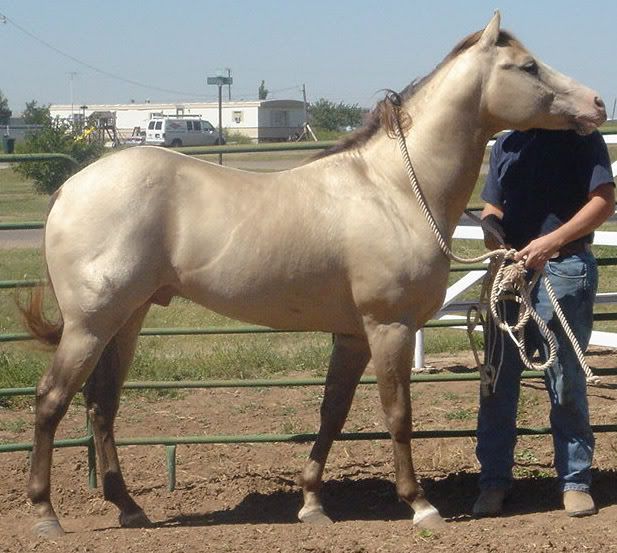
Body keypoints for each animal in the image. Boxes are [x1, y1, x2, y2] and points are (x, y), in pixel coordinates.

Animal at [21, 12, 604, 536]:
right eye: (527, 67)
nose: (597, 104)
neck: (394, 188)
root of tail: (70, 188)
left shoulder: (352, 335)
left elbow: (332, 414)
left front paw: (311, 503)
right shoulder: (388, 327)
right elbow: (398, 415)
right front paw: (420, 505)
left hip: (128, 319)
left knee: (101, 406)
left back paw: (129, 508)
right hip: (91, 325)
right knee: (51, 400)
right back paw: (46, 513)